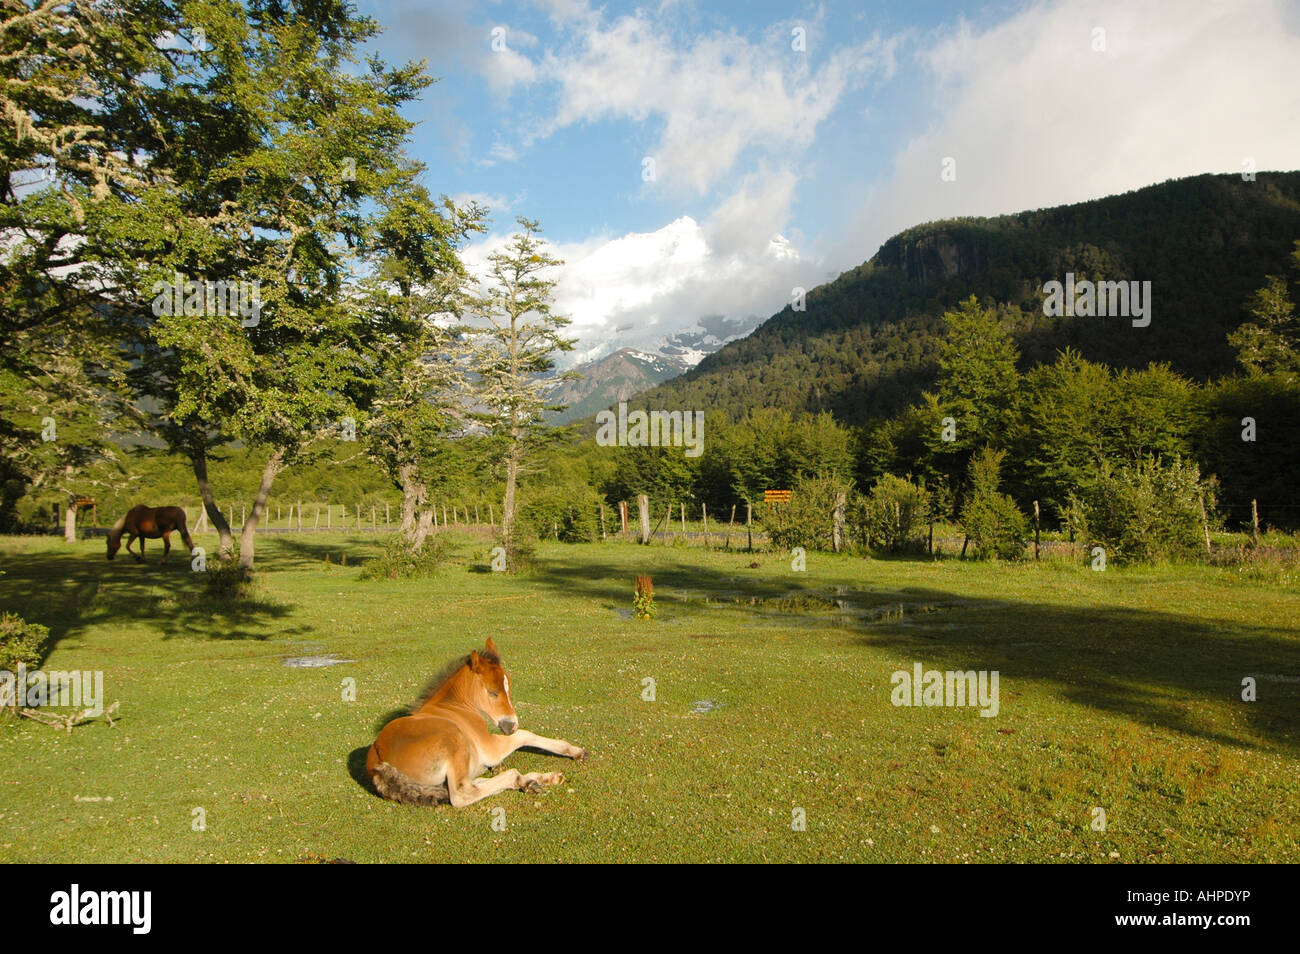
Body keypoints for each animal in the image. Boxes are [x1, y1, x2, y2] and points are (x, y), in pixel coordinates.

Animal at [369, 642, 587, 805]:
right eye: (493, 692)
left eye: (508, 687)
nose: (511, 725)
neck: (455, 705)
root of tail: (378, 761)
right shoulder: (490, 747)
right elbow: (526, 735)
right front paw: (575, 751)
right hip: (454, 740)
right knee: (463, 794)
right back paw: (522, 779)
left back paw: (536, 780)